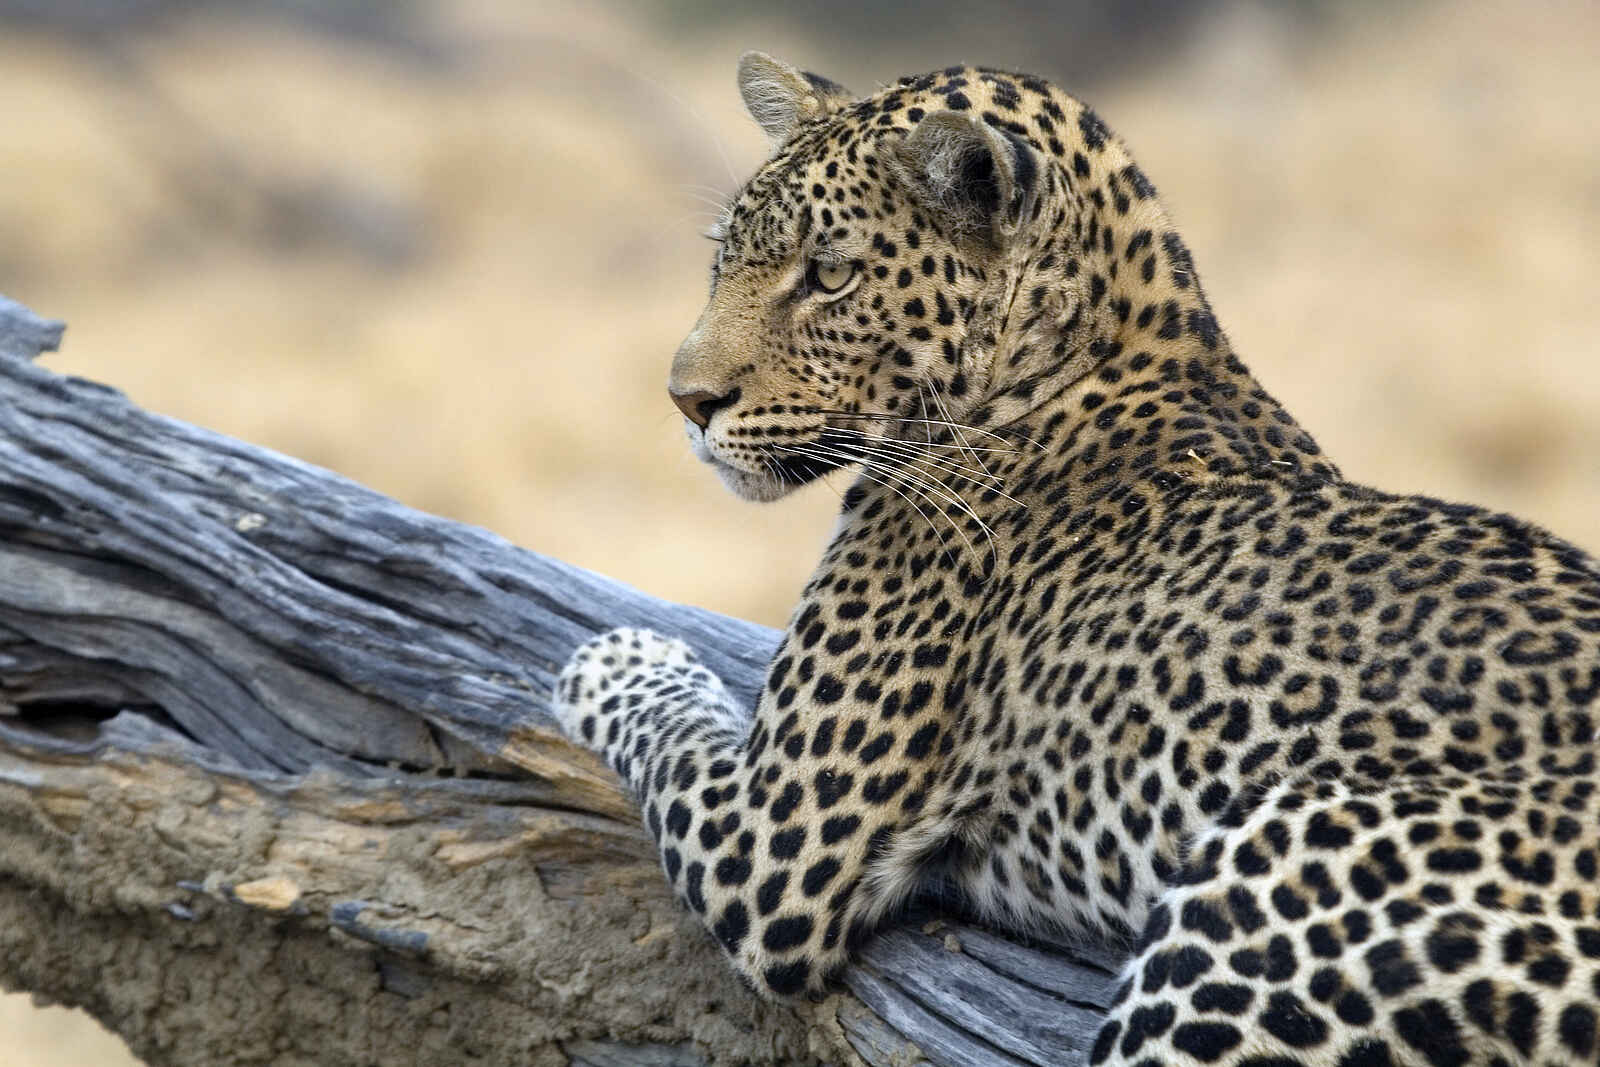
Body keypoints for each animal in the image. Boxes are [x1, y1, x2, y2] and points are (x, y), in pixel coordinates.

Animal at [554, 52, 1600, 1066]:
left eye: (830, 275)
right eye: (723, 260)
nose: (686, 401)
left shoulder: (774, 844)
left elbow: (668, 719)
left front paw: (615, 653)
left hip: (1264, 872)